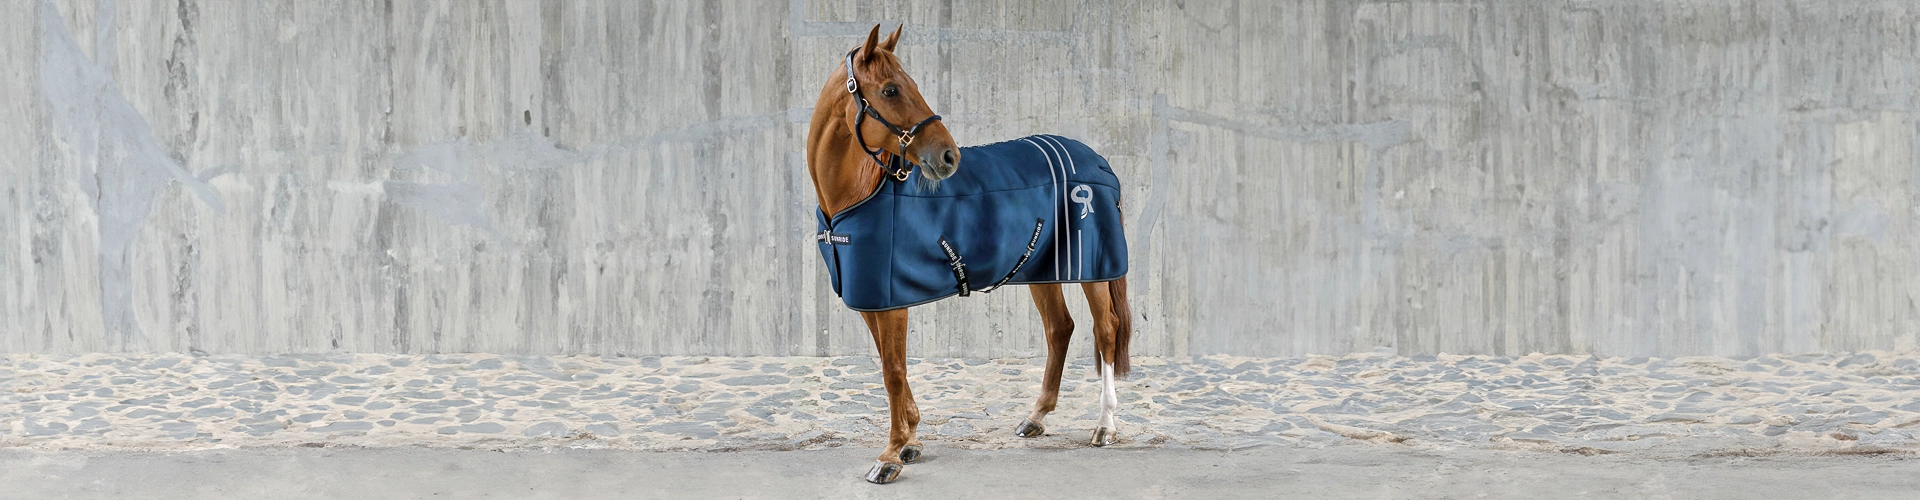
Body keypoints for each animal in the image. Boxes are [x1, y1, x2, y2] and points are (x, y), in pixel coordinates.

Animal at [804, 24, 1134, 484]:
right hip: (1042, 269)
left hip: (1094, 270)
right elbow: (892, 366)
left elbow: (893, 371)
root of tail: (1098, 161)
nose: (949, 156)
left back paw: (1105, 426)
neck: (858, 192)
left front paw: (890, 456)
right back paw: (1036, 417)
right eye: (890, 90)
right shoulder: (873, 299)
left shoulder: (890, 301)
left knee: (1105, 331)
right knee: (1060, 328)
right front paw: (911, 442)